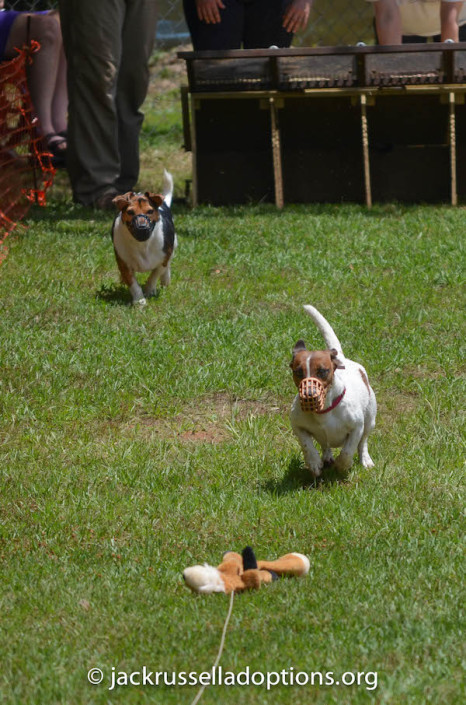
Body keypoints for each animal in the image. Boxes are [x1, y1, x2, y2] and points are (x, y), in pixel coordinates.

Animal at [111, 170, 177, 306]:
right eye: (130, 212)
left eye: (150, 211)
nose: (142, 227)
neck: (142, 244)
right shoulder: (123, 262)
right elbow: (132, 282)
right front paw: (139, 300)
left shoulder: (164, 257)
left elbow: (155, 274)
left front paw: (149, 290)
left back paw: (165, 280)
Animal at [290, 306, 376, 476]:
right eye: (298, 372)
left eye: (322, 371)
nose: (309, 395)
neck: (323, 412)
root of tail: (341, 358)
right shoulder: (297, 425)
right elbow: (306, 444)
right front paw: (314, 462)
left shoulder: (357, 427)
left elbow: (348, 450)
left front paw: (342, 465)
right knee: (325, 445)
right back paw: (326, 457)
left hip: (370, 419)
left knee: (363, 442)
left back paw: (365, 460)